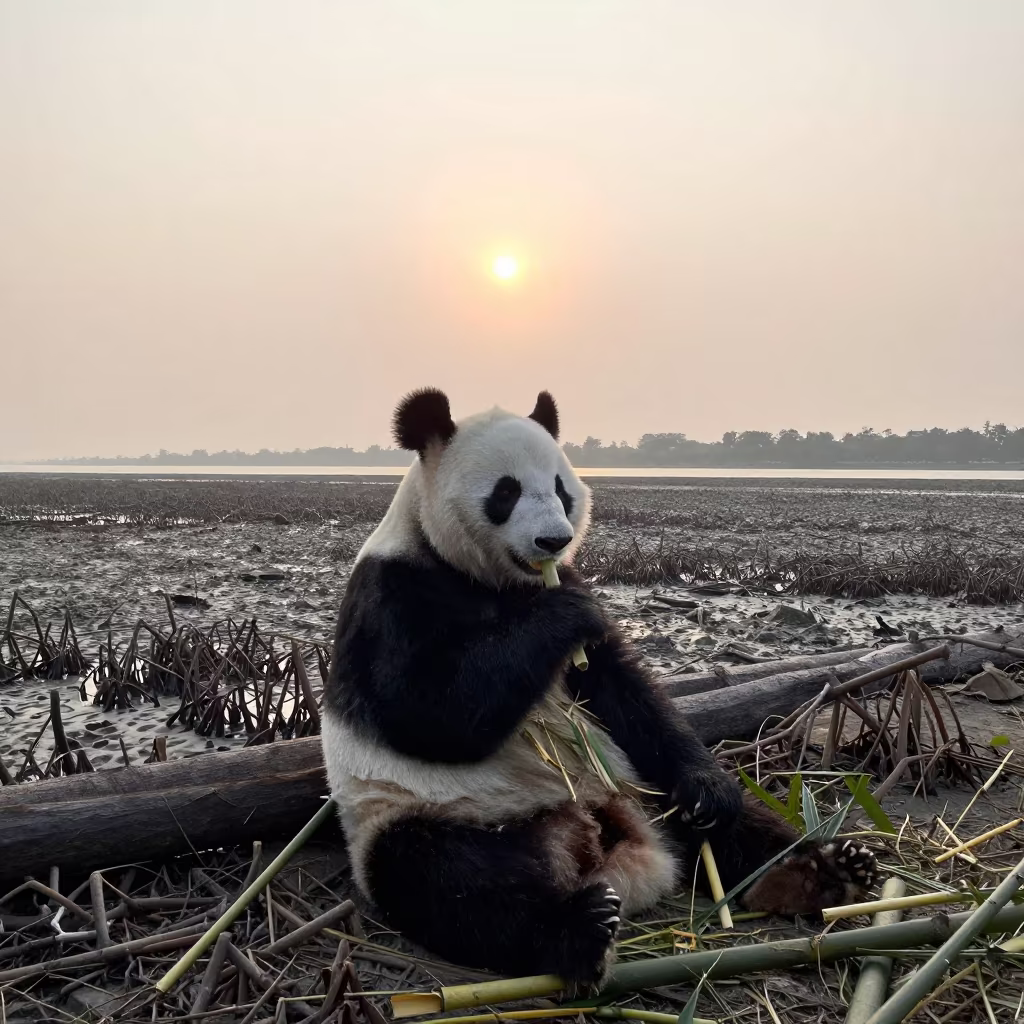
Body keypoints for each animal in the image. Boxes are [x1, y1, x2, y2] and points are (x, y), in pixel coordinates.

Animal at [322, 388, 877, 989]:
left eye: (561, 489)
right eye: (506, 492)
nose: (554, 540)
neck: (494, 581)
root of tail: (595, 841)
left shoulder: (573, 599)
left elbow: (626, 692)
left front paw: (706, 789)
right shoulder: (392, 595)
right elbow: (426, 712)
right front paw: (563, 615)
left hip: (639, 787)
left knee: (736, 821)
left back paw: (819, 870)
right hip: (419, 814)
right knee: (449, 881)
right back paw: (579, 929)